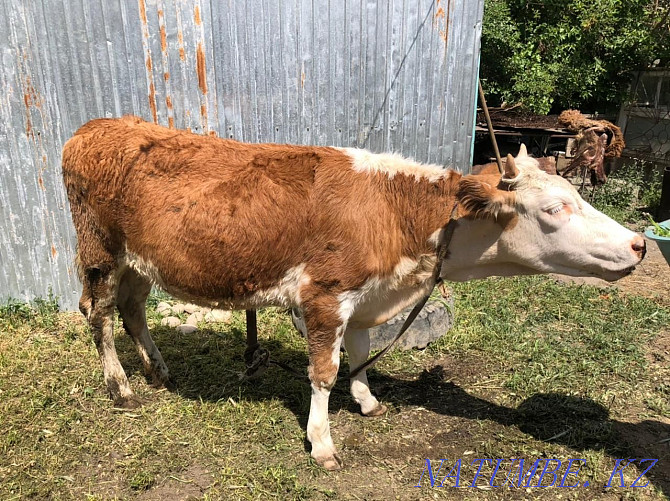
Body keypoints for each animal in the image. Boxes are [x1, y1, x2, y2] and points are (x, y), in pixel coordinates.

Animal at [61, 116, 644, 468]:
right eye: (554, 208)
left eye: (574, 195)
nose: (639, 244)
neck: (396, 213)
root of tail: (96, 127)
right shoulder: (324, 294)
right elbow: (324, 371)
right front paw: (322, 443)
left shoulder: (366, 298)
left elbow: (361, 354)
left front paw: (366, 401)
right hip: (99, 253)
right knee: (99, 313)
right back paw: (121, 386)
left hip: (142, 260)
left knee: (134, 310)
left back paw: (159, 370)